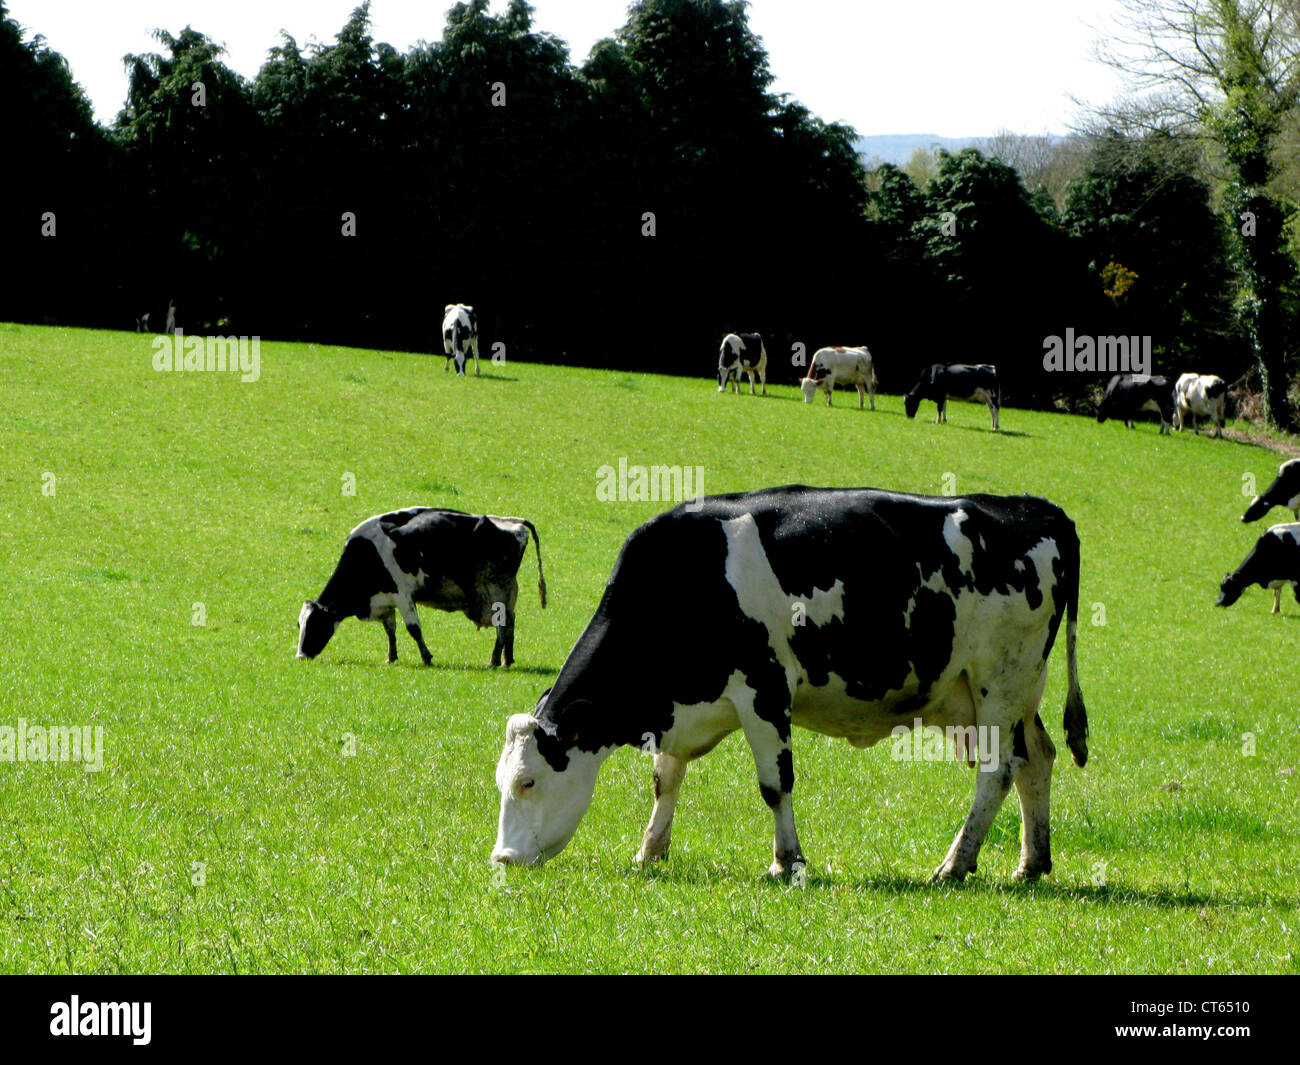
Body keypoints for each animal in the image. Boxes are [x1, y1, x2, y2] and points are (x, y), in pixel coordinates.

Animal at [297, 507, 546, 668]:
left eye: (316, 624)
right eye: (300, 624)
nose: (300, 655)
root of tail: (510, 522)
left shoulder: (403, 595)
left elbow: (413, 629)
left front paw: (426, 658)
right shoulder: (385, 599)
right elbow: (390, 629)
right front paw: (391, 657)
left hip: (496, 590)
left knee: (502, 626)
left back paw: (494, 661)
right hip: (506, 593)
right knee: (511, 623)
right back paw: (506, 660)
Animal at [493, 485, 1088, 884]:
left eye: (528, 782)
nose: (503, 859)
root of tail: (1035, 508)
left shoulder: (764, 689)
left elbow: (775, 785)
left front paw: (788, 861)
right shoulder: (684, 709)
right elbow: (666, 780)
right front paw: (650, 850)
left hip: (1000, 681)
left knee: (998, 770)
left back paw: (955, 865)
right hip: (1005, 691)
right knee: (1037, 758)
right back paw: (1032, 863)